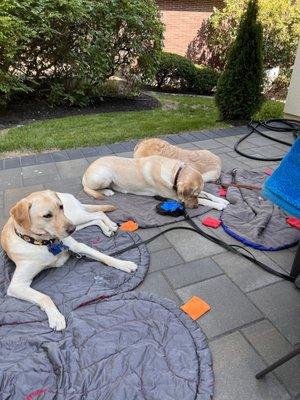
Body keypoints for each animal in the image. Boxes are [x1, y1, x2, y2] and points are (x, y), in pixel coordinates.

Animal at [0, 191, 137, 332]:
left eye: (61, 207)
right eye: (47, 215)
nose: (72, 229)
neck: (45, 243)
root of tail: (61, 193)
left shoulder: (78, 246)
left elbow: (104, 256)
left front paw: (124, 263)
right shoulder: (16, 285)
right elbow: (44, 296)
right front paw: (56, 317)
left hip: (75, 217)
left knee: (98, 213)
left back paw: (111, 225)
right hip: (78, 222)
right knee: (95, 219)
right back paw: (107, 229)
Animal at [82, 155, 227, 211]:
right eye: (193, 195)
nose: (195, 207)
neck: (175, 173)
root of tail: (85, 173)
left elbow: (207, 194)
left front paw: (221, 200)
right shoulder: (175, 197)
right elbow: (204, 200)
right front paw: (218, 205)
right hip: (104, 176)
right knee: (88, 188)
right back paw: (106, 191)